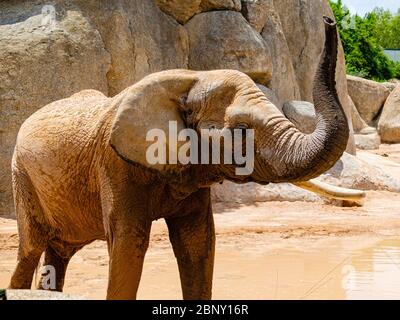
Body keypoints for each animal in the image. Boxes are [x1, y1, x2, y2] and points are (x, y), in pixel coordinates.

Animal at [9, 16, 364, 298]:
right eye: (240, 129)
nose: (329, 21)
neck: (192, 78)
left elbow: (197, 242)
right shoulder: (115, 164)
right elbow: (128, 243)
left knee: (58, 252)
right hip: (21, 177)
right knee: (31, 248)